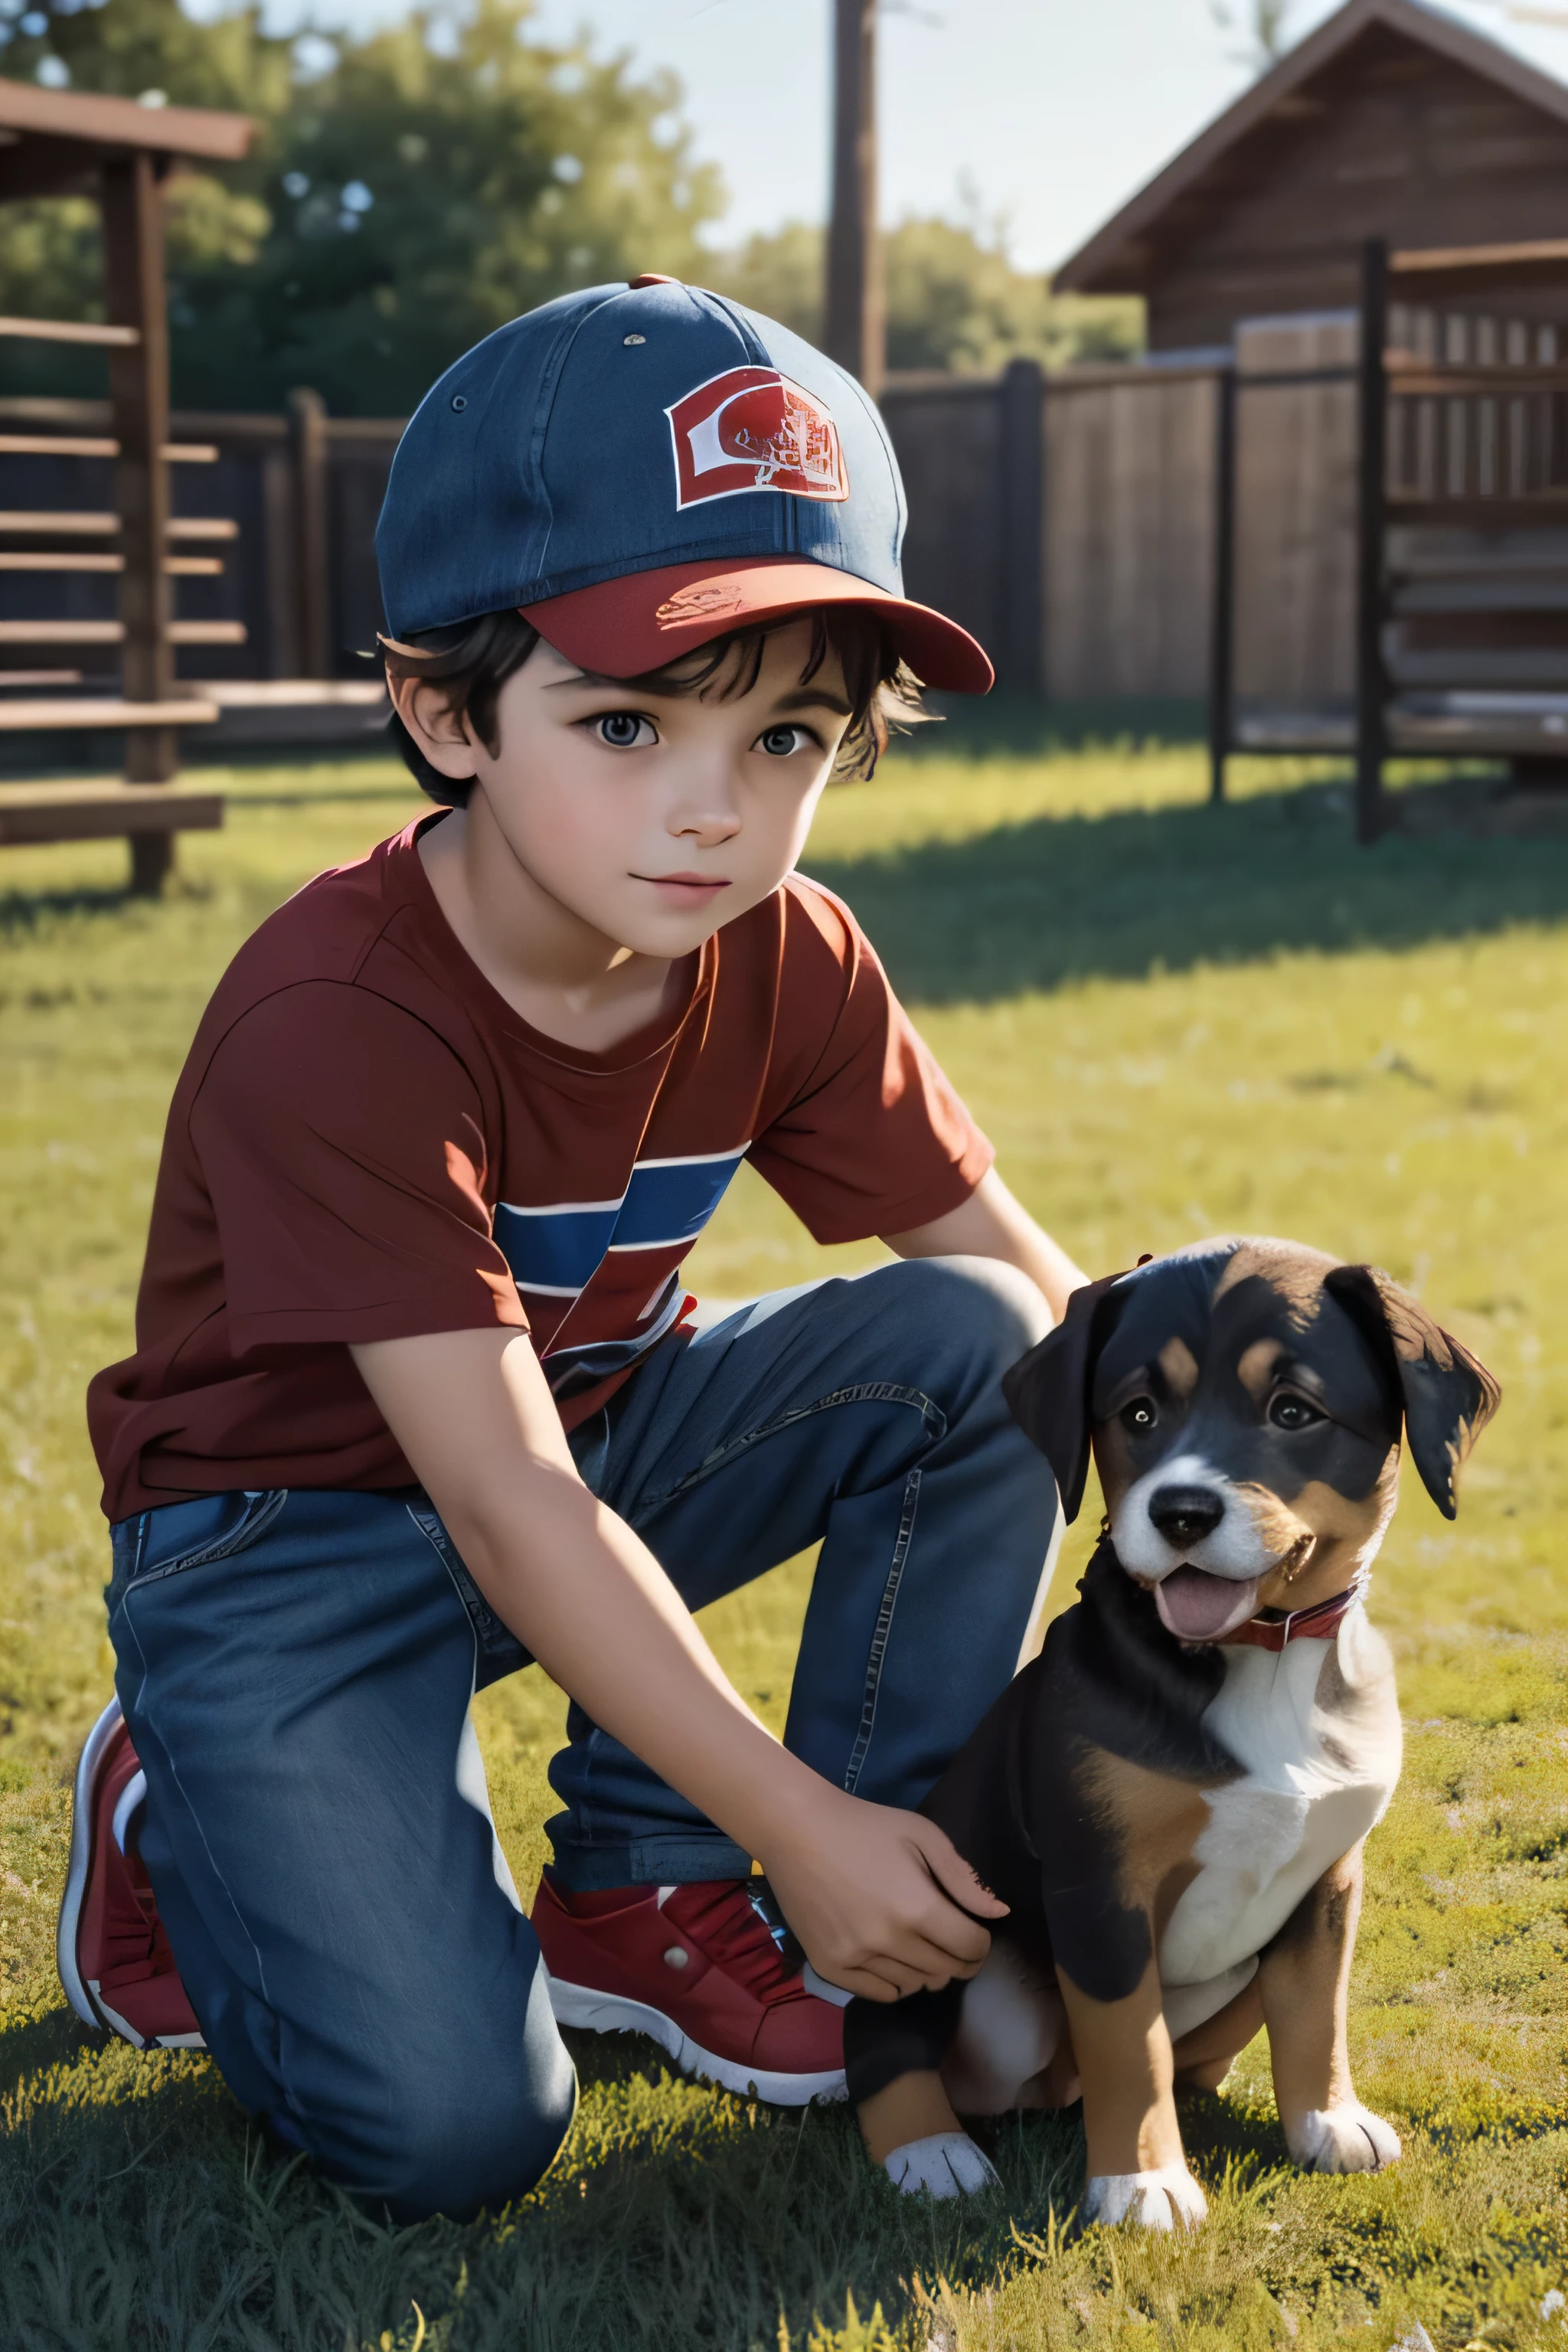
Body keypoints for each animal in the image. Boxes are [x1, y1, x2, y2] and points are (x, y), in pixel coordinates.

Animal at [841, 1242, 1504, 2230]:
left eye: (1292, 1411)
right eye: (1138, 1414)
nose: (1180, 1513)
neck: (1260, 1659)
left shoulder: (1325, 1882)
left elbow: (1314, 2013)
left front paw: (1325, 2122)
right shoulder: (1100, 1887)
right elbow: (1128, 2041)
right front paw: (1142, 2183)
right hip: (964, 1957)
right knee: (886, 2035)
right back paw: (932, 2151)